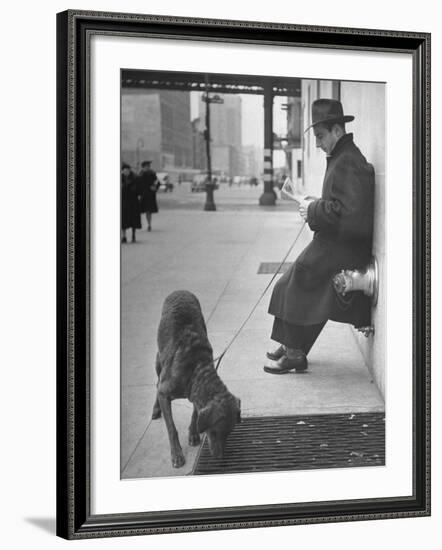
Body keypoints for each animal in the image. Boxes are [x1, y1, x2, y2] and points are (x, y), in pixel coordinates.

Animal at [152, 292, 242, 468]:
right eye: (214, 432)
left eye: (228, 433)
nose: (220, 459)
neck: (196, 369)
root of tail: (180, 290)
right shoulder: (165, 393)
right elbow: (171, 428)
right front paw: (177, 454)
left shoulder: (196, 394)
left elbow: (195, 413)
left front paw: (193, 433)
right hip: (159, 360)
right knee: (157, 383)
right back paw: (156, 408)